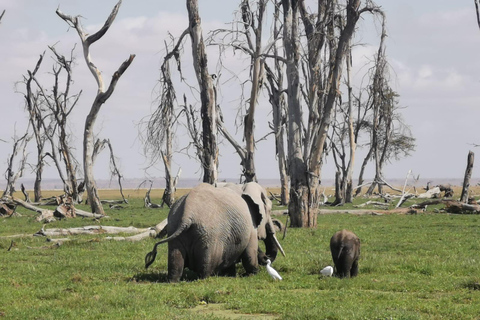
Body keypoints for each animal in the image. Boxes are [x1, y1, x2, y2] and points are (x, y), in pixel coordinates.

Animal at [144, 182, 284, 282]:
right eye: (269, 210)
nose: (266, 257)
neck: (243, 186)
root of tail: (187, 213)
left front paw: (230, 274)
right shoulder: (250, 225)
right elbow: (250, 252)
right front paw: (252, 274)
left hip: (174, 225)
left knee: (175, 259)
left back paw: (173, 280)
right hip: (209, 234)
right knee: (205, 265)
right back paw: (203, 278)